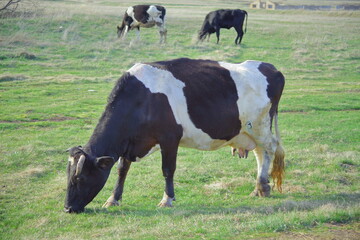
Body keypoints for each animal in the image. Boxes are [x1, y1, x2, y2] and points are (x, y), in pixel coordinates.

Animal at [64, 57, 284, 214]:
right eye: (68, 176)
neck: (142, 99)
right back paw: (259, 187)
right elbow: (121, 170)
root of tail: (271, 68)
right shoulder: (129, 143)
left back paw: (262, 185)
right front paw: (113, 199)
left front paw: (167, 199)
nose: (67, 208)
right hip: (248, 131)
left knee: (269, 149)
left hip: (260, 126)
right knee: (260, 153)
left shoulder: (170, 138)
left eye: (80, 178)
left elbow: (168, 169)